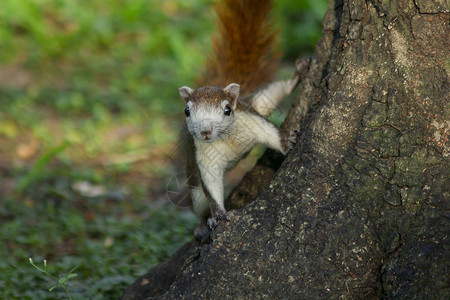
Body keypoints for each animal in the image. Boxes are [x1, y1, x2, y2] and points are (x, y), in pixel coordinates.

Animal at [178, 0, 300, 239]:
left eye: (227, 110)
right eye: (187, 111)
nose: (205, 131)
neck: (227, 138)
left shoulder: (250, 118)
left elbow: (270, 132)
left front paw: (286, 143)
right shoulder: (204, 157)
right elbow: (211, 186)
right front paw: (218, 216)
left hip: (255, 102)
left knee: (271, 93)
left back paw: (298, 75)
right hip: (194, 186)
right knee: (199, 205)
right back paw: (202, 225)